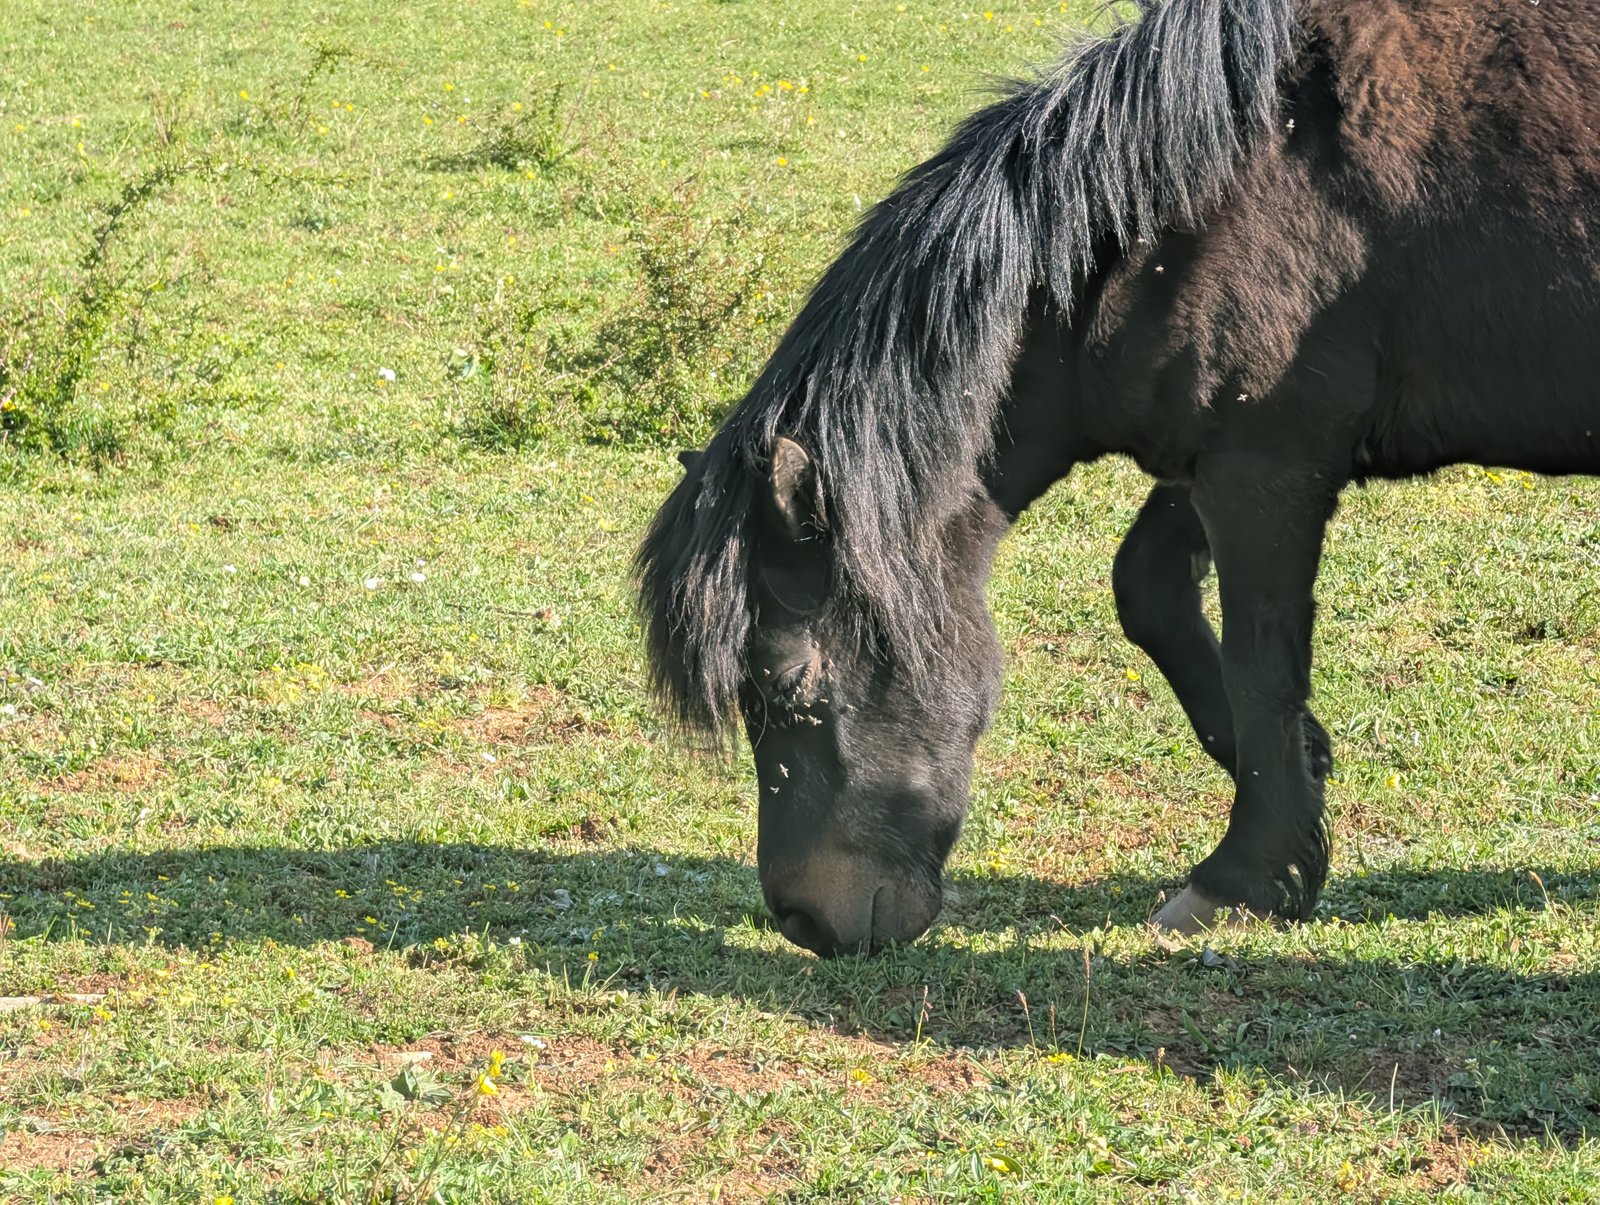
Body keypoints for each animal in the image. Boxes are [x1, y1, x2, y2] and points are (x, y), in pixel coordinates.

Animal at [636, 0, 1600, 957]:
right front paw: (1305, 775)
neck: (1221, 185)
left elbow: (1261, 667)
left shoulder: (1265, 472)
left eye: (788, 681)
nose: (803, 920)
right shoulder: (1206, 456)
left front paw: (1242, 879)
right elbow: (1151, 592)